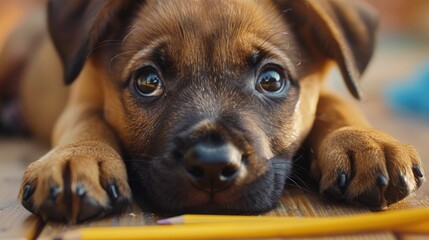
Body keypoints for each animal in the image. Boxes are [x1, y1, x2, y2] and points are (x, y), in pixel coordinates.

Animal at [0, 0, 422, 223]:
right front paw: (78, 157)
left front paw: (365, 142)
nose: (212, 167)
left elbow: (337, 104)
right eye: (148, 81)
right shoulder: (82, 98)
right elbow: (87, 121)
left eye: (271, 80)